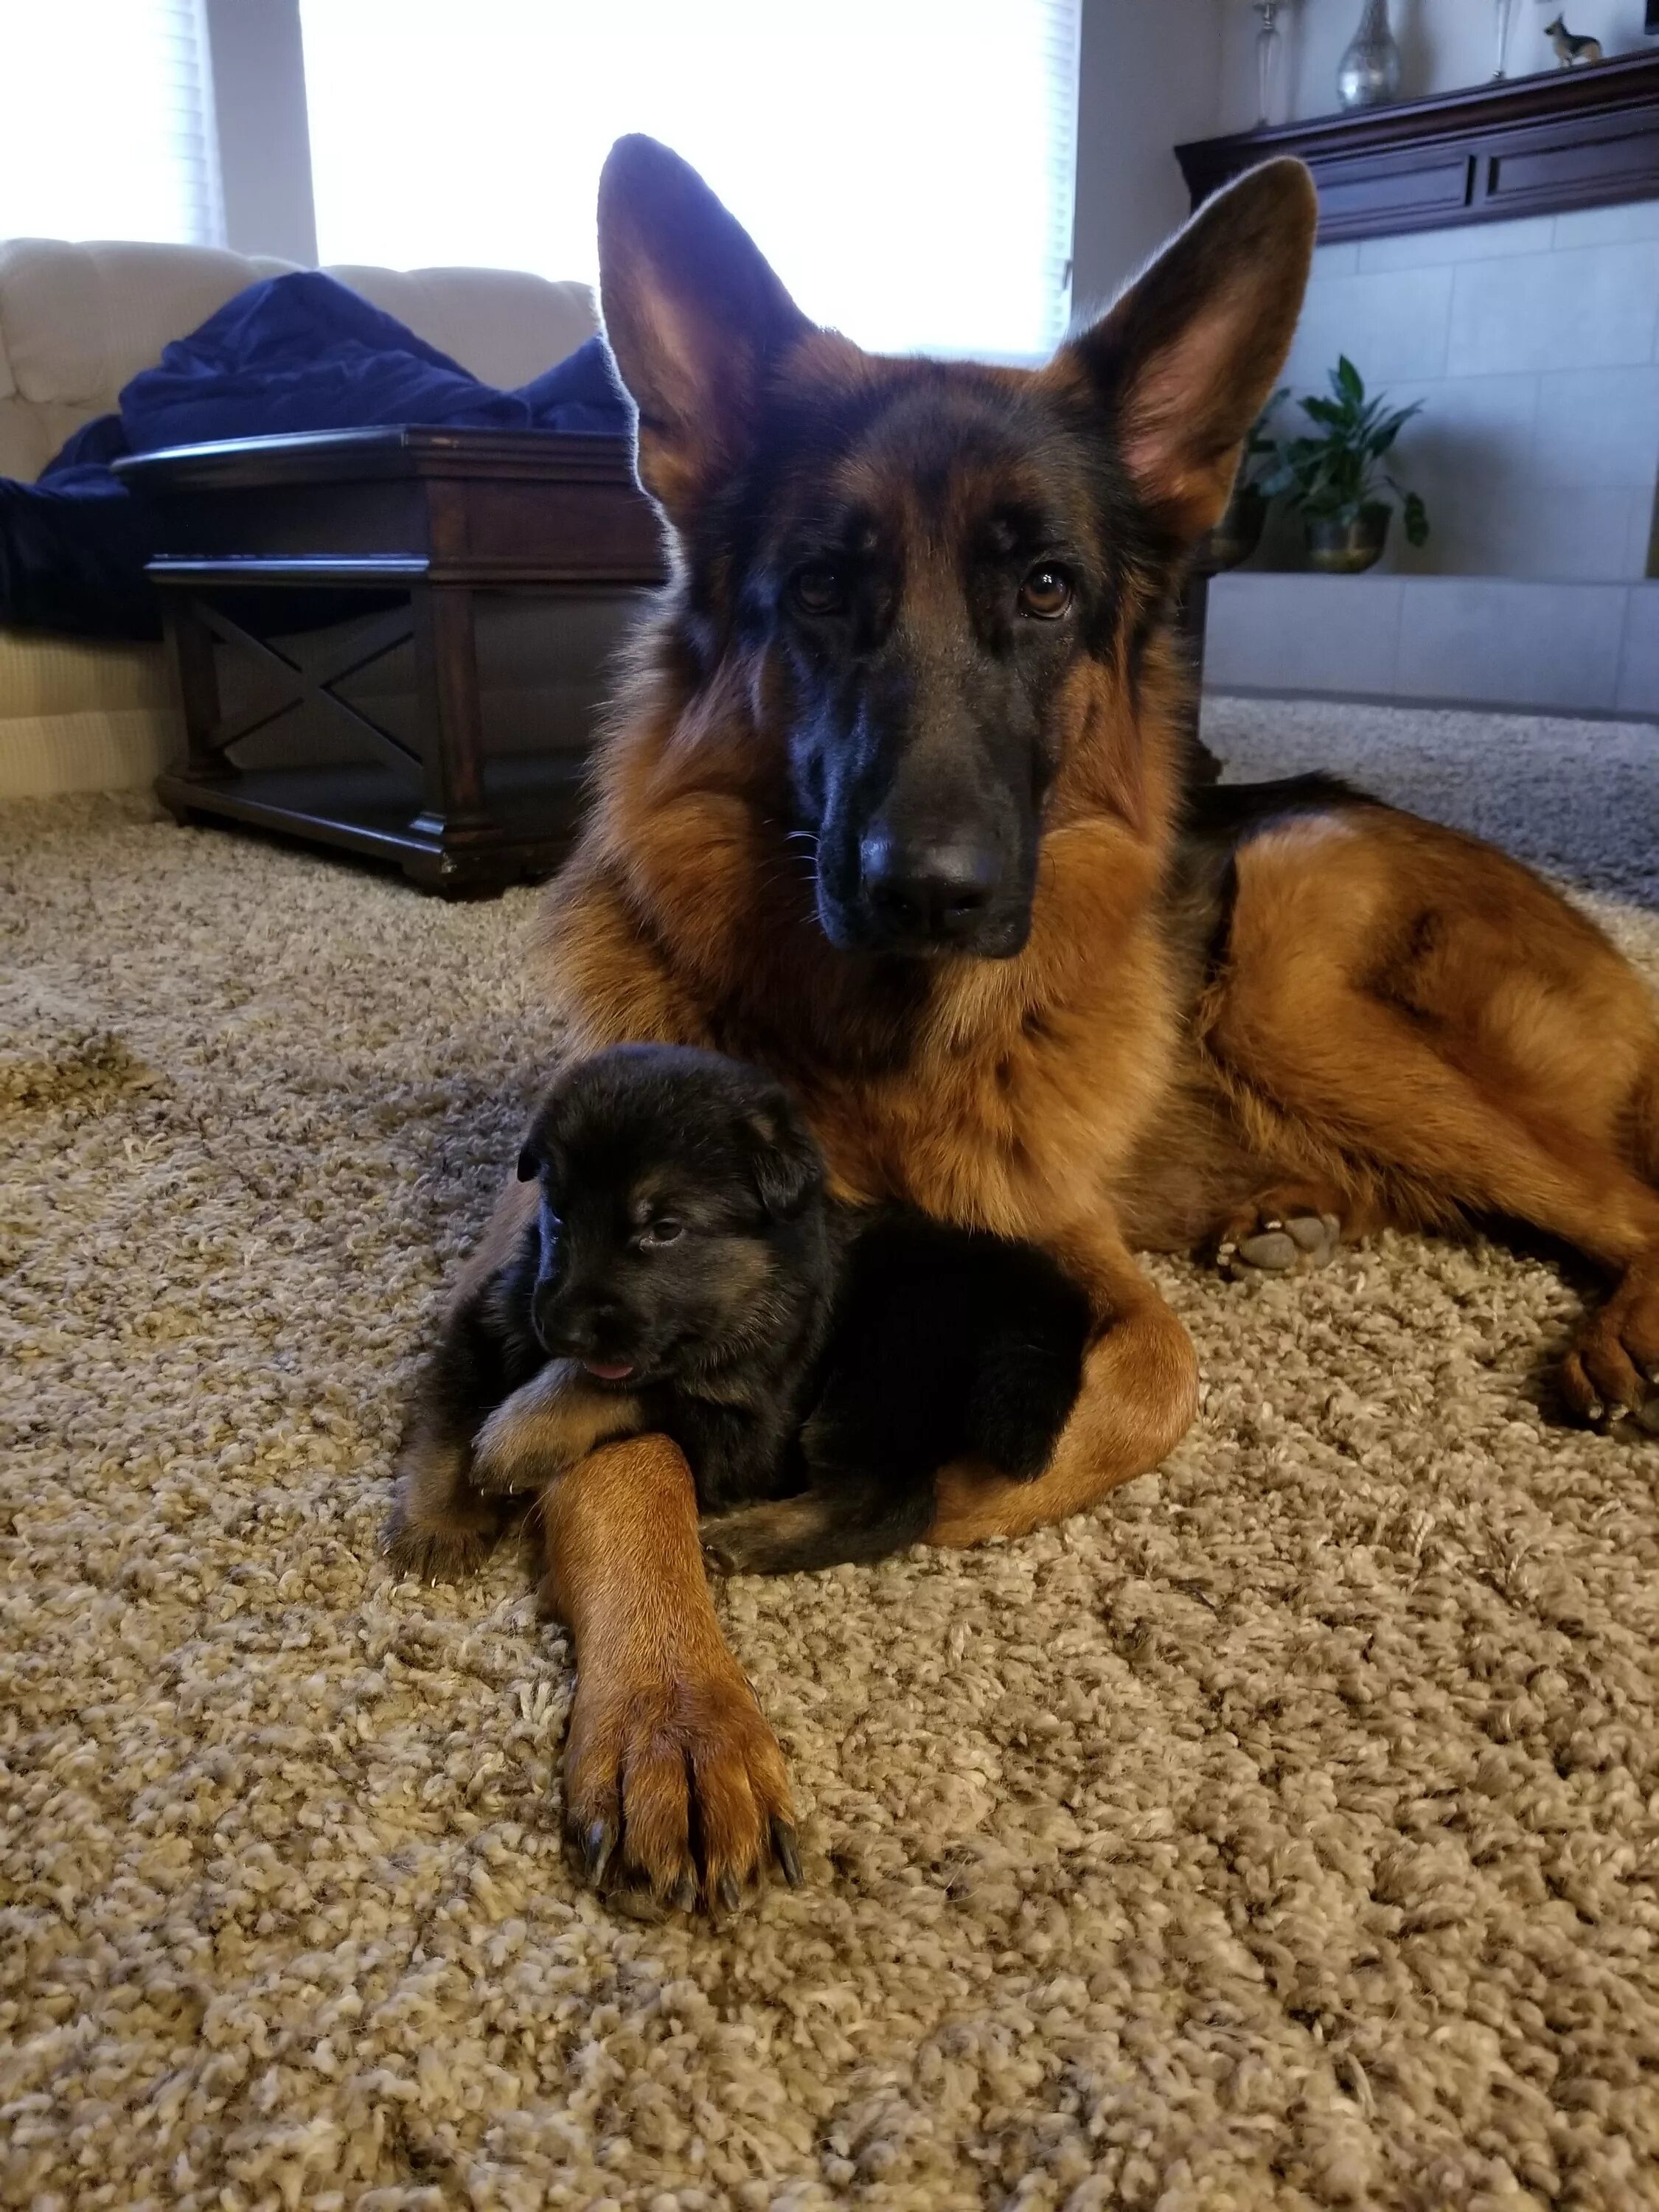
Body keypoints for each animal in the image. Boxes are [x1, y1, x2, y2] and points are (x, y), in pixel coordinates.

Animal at [389, 1044, 1093, 1584]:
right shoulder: (494, 1318)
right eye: (557, 1214)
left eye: (664, 1230)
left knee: (893, 1502)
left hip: (884, 1365)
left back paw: (749, 1537)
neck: (750, 1295)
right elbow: (449, 1413)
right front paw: (439, 1521)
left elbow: (619, 1383)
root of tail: (1039, 1292)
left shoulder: (744, 1429)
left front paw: (520, 1434)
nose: (560, 1331)